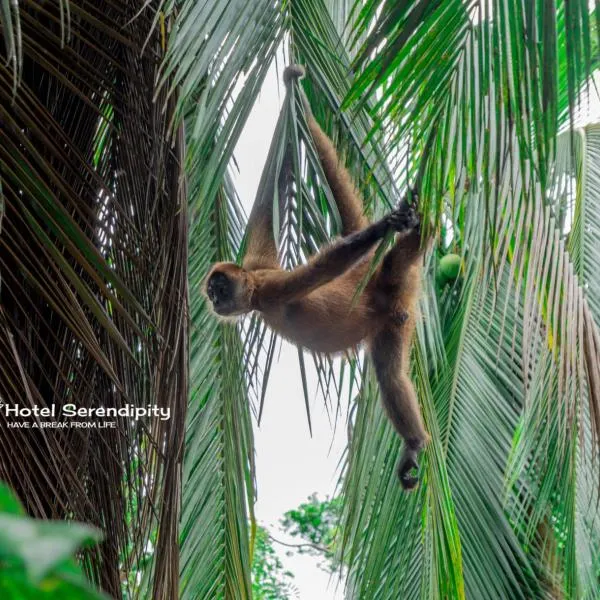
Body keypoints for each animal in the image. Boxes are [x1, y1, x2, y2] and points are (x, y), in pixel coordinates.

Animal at [206, 65, 432, 490]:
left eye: (219, 288)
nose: (212, 299)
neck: (255, 288)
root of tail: (369, 275)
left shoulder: (272, 288)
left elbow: (323, 267)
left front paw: (386, 224)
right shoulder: (257, 263)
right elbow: (265, 206)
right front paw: (293, 100)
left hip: (394, 286)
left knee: (390, 374)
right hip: (391, 311)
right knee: (391, 372)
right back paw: (412, 443)